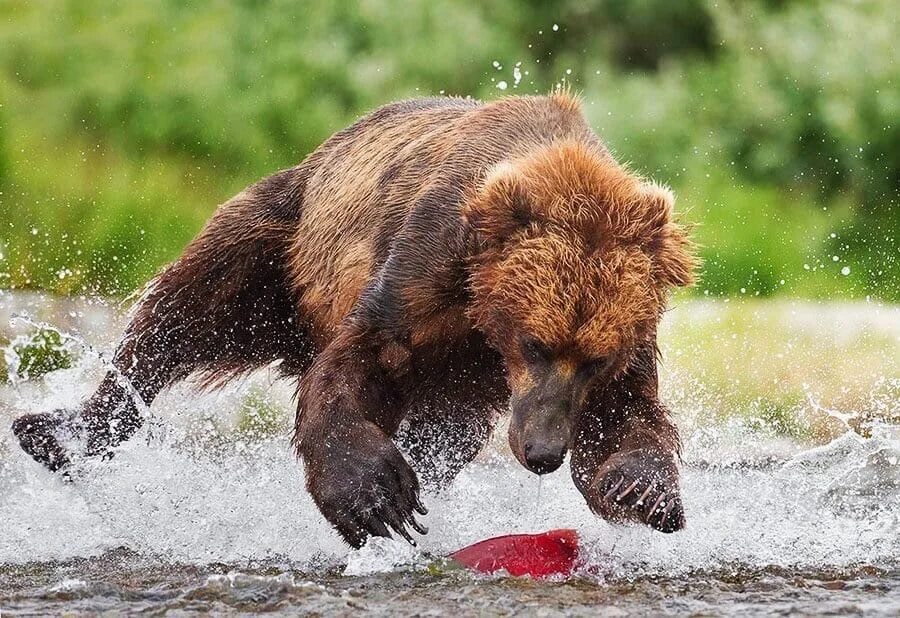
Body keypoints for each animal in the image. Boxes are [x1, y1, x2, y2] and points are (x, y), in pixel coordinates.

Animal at [15, 90, 704, 544]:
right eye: (535, 343)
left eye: (595, 357)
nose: (541, 451)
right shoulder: (427, 263)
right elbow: (361, 359)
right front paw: (374, 496)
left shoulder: (622, 336)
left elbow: (623, 416)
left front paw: (643, 488)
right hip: (284, 242)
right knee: (188, 310)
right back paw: (61, 430)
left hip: (455, 381)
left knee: (444, 432)